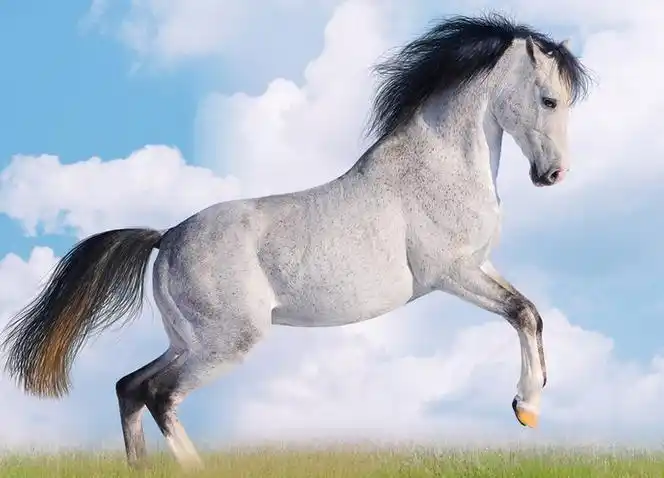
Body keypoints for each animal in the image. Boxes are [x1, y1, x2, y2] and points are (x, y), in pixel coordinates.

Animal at [1, 13, 591, 470]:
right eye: (549, 100)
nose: (553, 175)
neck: (438, 166)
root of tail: (166, 238)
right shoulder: (451, 273)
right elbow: (521, 313)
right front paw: (526, 406)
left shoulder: (478, 267)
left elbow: (531, 313)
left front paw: (529, 407)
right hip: (227, 343)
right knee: (159, 395)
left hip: (188, 340)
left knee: (129, 386)